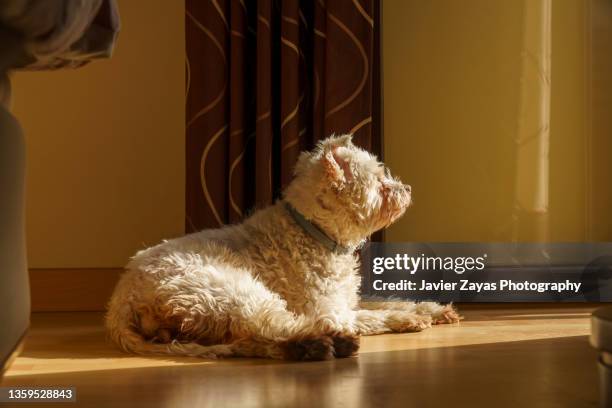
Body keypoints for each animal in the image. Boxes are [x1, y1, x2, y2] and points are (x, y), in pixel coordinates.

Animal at [106, 134, 460, 360]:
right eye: (379, 180)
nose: (406, 188)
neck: (315, 232)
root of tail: (122, 302)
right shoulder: (330, 306)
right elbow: (375, 314)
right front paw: (406, 319)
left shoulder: (348, 297)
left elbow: (388, 299)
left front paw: (433, 310)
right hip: (231, 291)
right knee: (279, 325)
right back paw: (323, 343)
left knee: (250, 339)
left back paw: (311, 348)